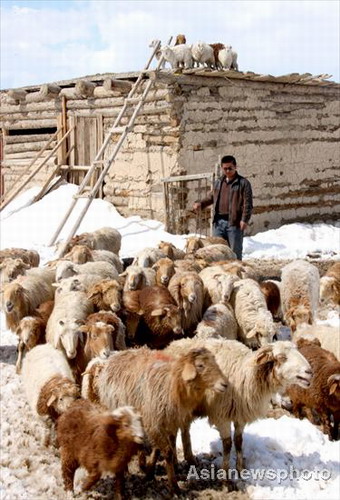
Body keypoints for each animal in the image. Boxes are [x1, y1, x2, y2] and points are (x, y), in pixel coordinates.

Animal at [97, 344, 227, 492]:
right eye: (200, 365)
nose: (224, 384)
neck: (172, 385)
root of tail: (120, 353)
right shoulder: (154, 422)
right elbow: (168, 452)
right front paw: (174, 487)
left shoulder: (168, 422)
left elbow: (158, 449)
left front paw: (149, 472)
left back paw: (141, 464)